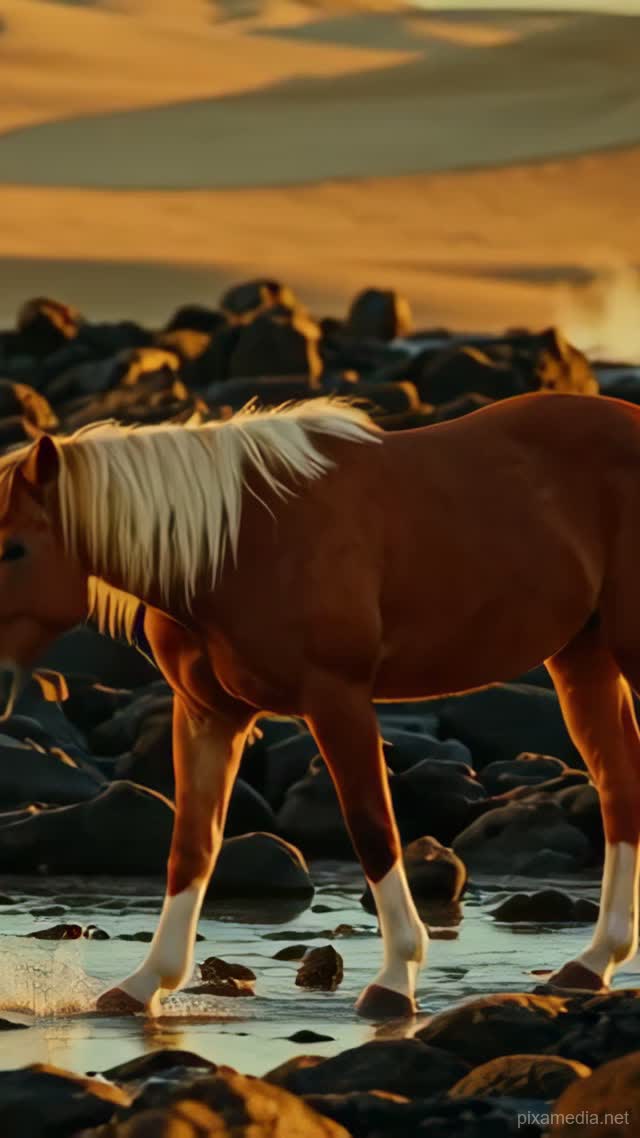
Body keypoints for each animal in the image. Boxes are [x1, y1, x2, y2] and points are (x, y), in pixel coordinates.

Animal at [0, 391, 639, 1018]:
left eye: (14, 549)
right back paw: (592, 963)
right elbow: (192, 847)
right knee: (618, 782)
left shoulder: (338, 698)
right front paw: (143, 983)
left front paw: (395, 978)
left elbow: (373, 829)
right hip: (581, 654)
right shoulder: (208, 714)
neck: (237, 546)